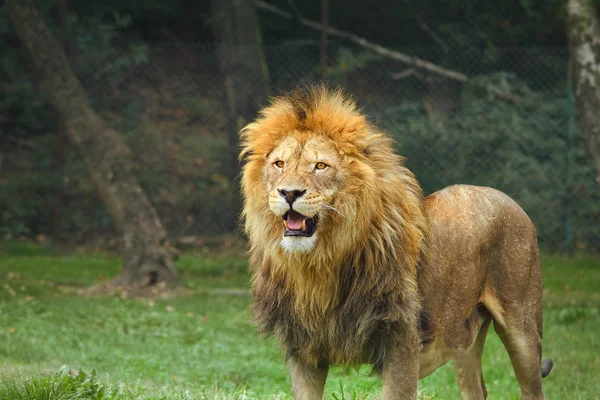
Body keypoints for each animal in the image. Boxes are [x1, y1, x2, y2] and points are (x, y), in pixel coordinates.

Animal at [240, 86, 552, 400]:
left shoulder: (402, 341)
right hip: (462, 336)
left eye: (320, 166)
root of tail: (505, 197)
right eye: (279, 164)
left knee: (532, 387)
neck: (321, 262)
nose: (289, 193)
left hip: (521, 324)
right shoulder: (303, 346)